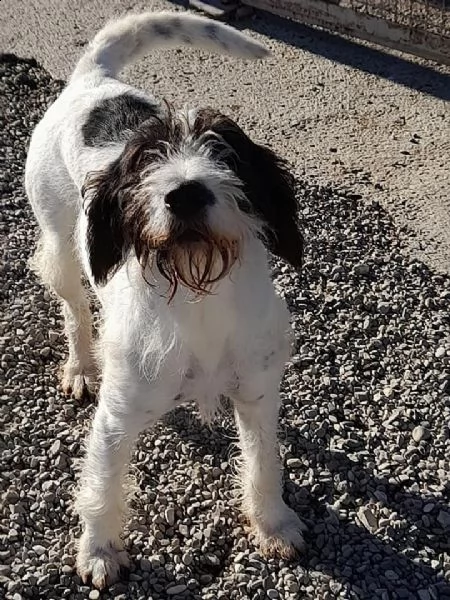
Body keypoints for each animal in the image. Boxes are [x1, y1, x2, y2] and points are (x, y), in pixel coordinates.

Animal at [25, 9, 306, 592]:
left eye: (224, 151)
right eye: (146, 158)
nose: (185, 193)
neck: (200, 302)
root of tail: (94, 78)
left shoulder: (258, 395)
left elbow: (264, 463)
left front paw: (273, 523)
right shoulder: (117, 416)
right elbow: (103, 482)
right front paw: (99, 550)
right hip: (61, 249)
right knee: (75, 312)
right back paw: (81, 366)